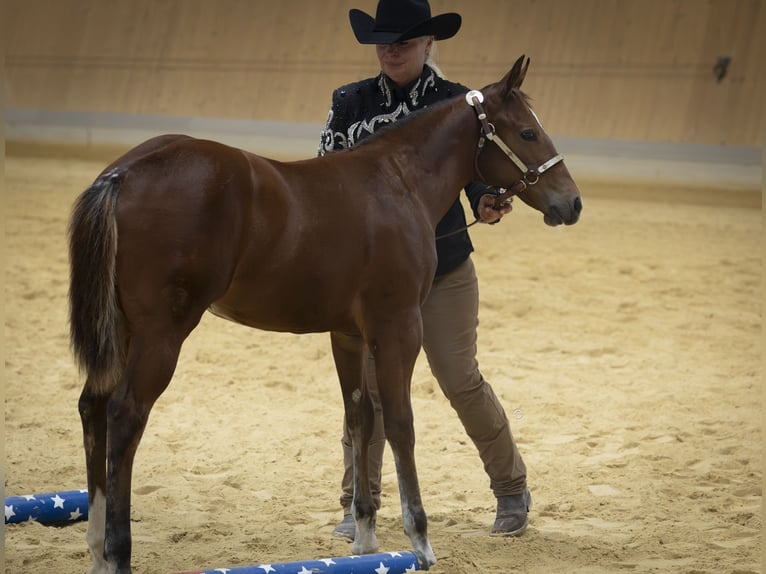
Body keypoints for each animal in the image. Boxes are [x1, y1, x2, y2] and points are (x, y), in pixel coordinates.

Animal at [70, 54, 581, 573]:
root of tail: (122, 174)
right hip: (162, 334)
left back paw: (96, 548)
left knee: (93, 406)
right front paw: (419, 540)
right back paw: (118, 553)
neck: (400, 183)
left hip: (123, 330)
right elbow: (401, 423)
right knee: (125, 414)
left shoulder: (349, 335)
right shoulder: (398, 327)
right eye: (527, 133)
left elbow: (361, 418)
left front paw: (366, 540)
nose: (572, 203)